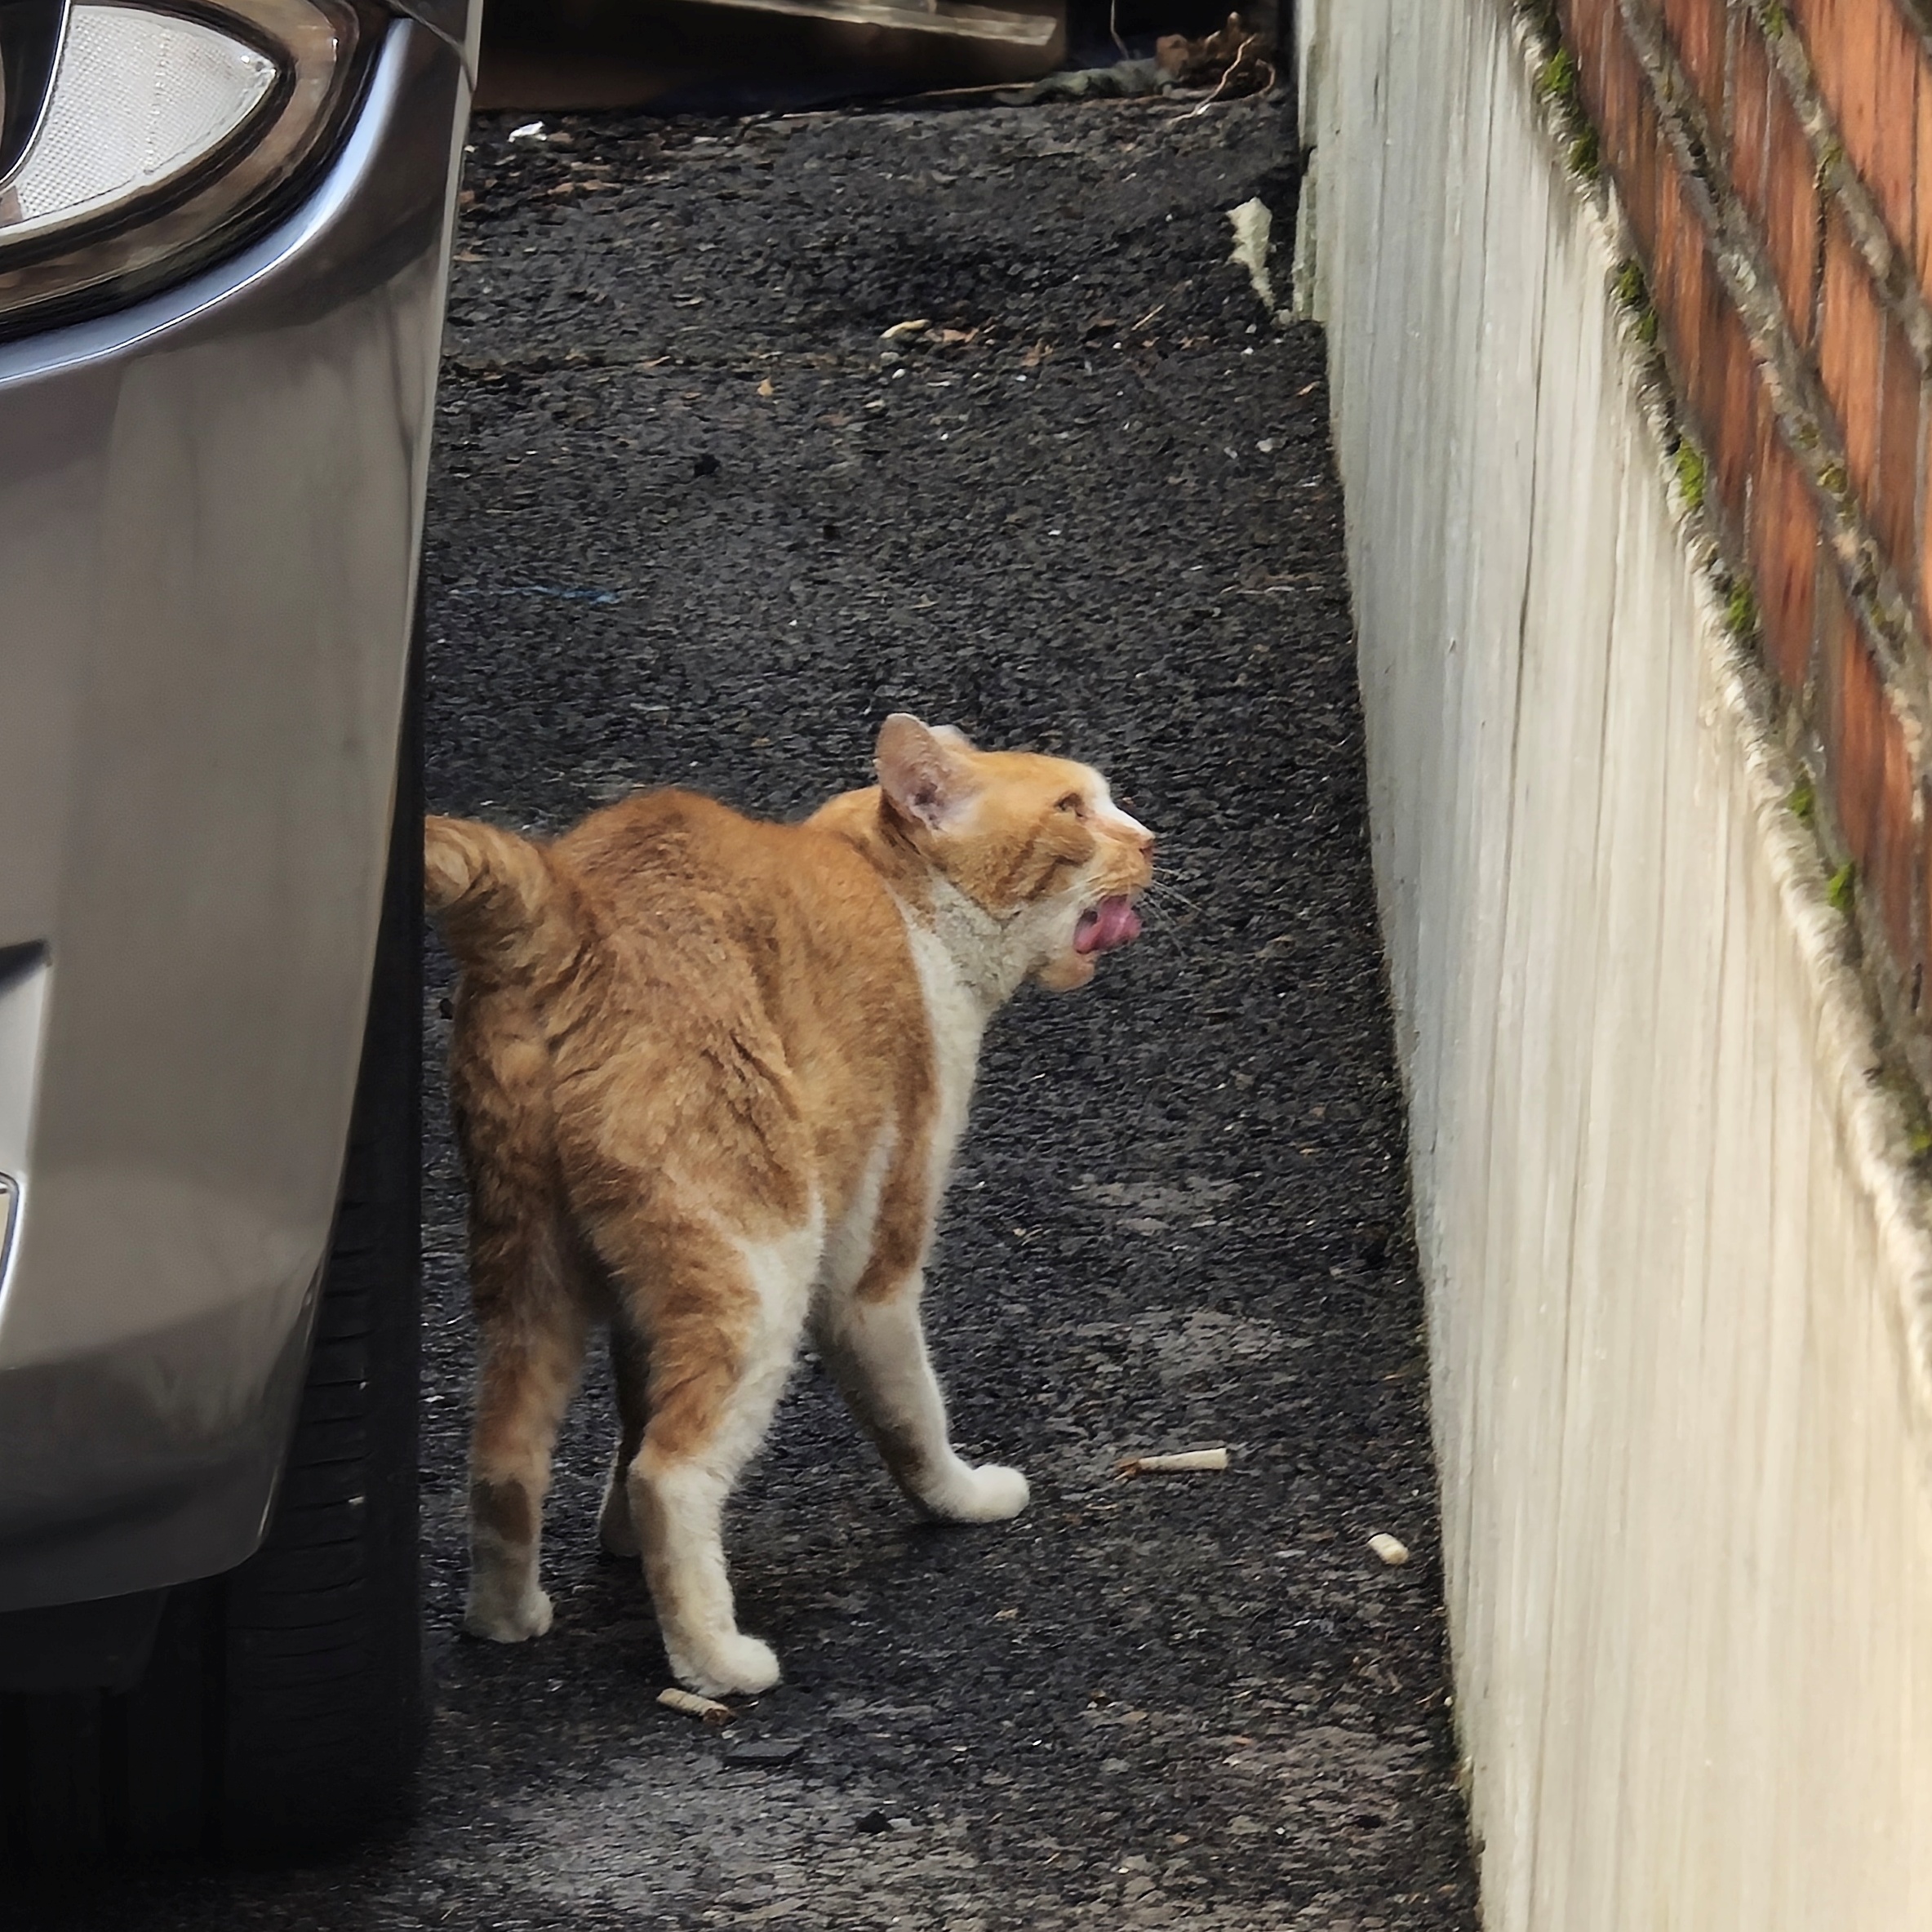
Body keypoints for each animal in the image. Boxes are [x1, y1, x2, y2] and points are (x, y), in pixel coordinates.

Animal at [425, 713, 1154, 1696]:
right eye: (1074, 810)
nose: (1149, 841)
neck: (898, 898)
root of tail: (569, 906)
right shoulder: (873, 1265)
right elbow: (911, 1414)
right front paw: (962, 1499)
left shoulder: (639, 1301)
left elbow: (630, 1413)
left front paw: (616, 1543)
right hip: (766, 1262)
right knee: (673, 1473)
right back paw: (716, 1665)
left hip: (529, 1272)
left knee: (504, 1455)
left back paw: (507, 1620)